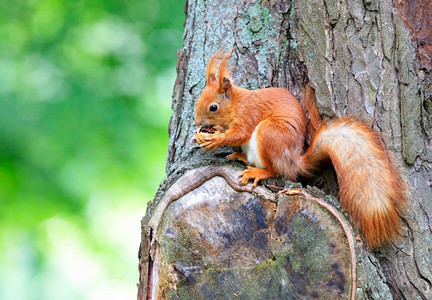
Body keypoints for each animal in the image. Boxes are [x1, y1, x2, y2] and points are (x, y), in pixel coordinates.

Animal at [194, 51, 406, 248]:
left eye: (213, 107)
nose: (196, 122)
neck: (236, 103)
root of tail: (294, 162)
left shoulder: (249, 114)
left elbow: (240, 134)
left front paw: (215, 140)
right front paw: (208, 133)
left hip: (271, 133)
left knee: (276, 170)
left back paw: (257, 172)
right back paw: (240, 156)